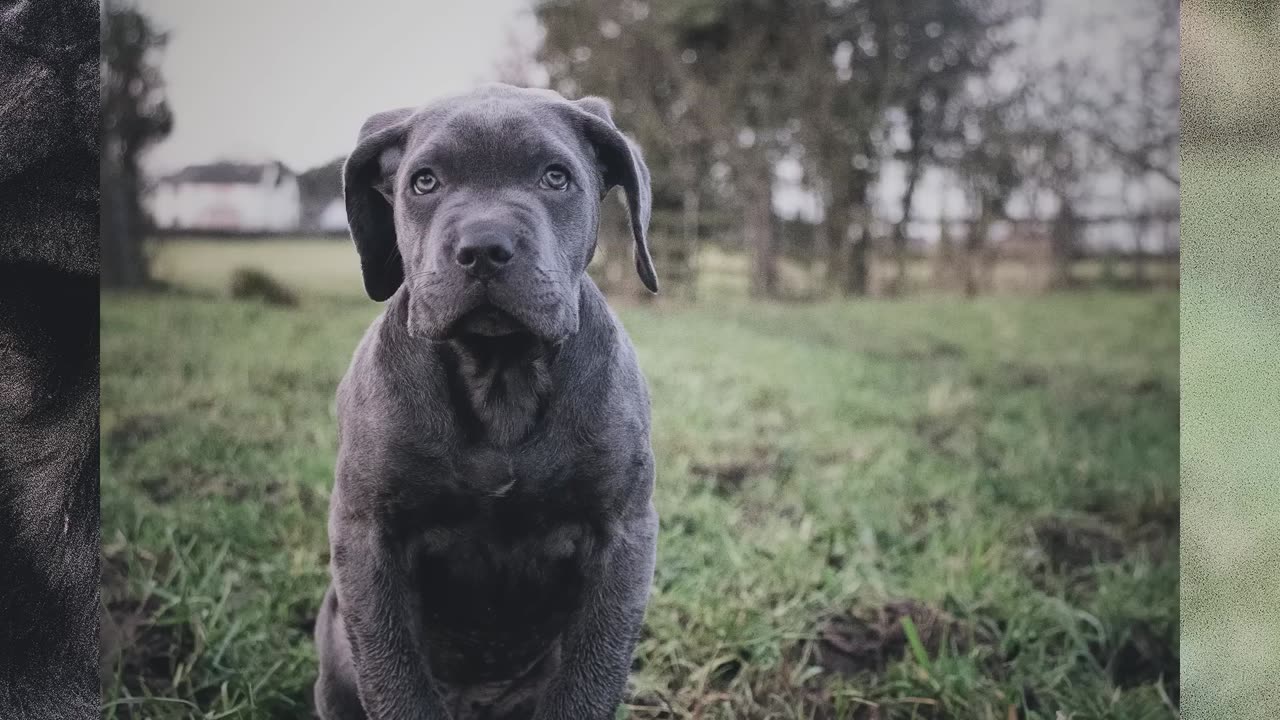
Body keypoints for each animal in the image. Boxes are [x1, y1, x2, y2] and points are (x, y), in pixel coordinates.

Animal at [314, 85, 660, 717]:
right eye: (424, 182)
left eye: (556, 177)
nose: (483, 248)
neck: (501, 378)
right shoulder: (367, 536)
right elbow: (396, 682)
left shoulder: (624, 533)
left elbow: (588, 681)